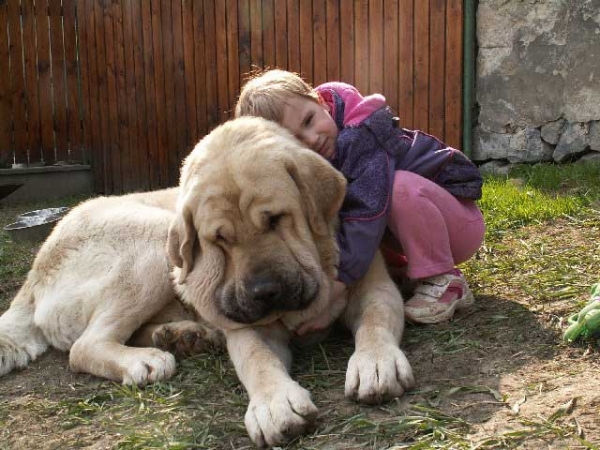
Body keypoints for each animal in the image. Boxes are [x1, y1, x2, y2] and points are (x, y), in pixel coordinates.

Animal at [0, 118, 412, 448]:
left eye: (276, 219)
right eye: (219, 240)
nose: (265, 292)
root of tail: (34, 271)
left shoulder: (376, 289)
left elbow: (374, 322)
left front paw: (376, 363)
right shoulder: (248, 326)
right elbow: (257, 359)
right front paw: (274, 404)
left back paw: (183, 336)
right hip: (153, 242)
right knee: (83, 347)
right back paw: (148, 358)